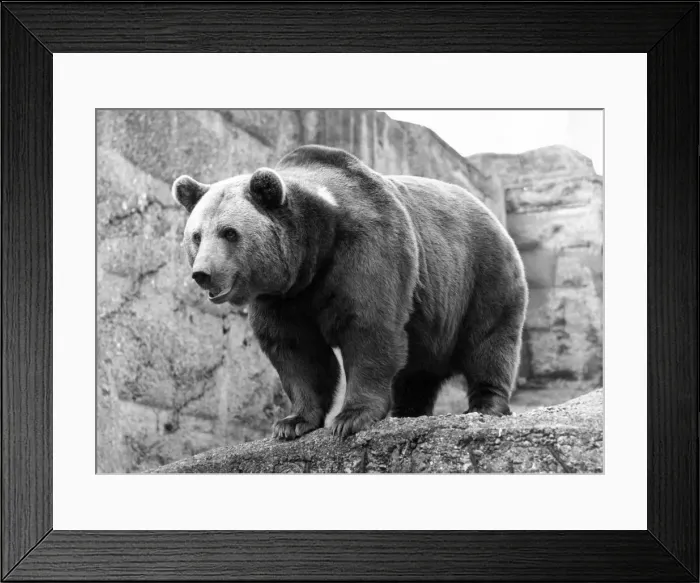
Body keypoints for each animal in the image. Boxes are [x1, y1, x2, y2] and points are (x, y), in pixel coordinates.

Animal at [172, 144, 528, 439]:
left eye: (230, 233)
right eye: (196, 236)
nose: (203, 274)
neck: (314, 254)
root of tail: (489, 211)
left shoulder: (368, 250)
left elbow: (369, 329)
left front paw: (350, 418)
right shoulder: (282, 297)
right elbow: (296, 350)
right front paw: (292, 423)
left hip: (481, 274)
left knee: (489, 342)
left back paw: (485, 404)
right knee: (419, 370)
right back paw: (408, 411)